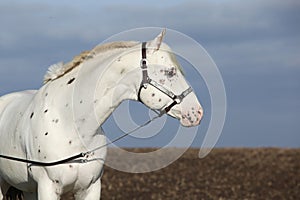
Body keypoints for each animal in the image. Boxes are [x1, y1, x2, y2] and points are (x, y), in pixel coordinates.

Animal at [0, 30, 204, 200]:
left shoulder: (90, 188)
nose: (197, 112)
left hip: (29, 190)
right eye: (170, 72)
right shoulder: (48, 188)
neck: (70, 126)